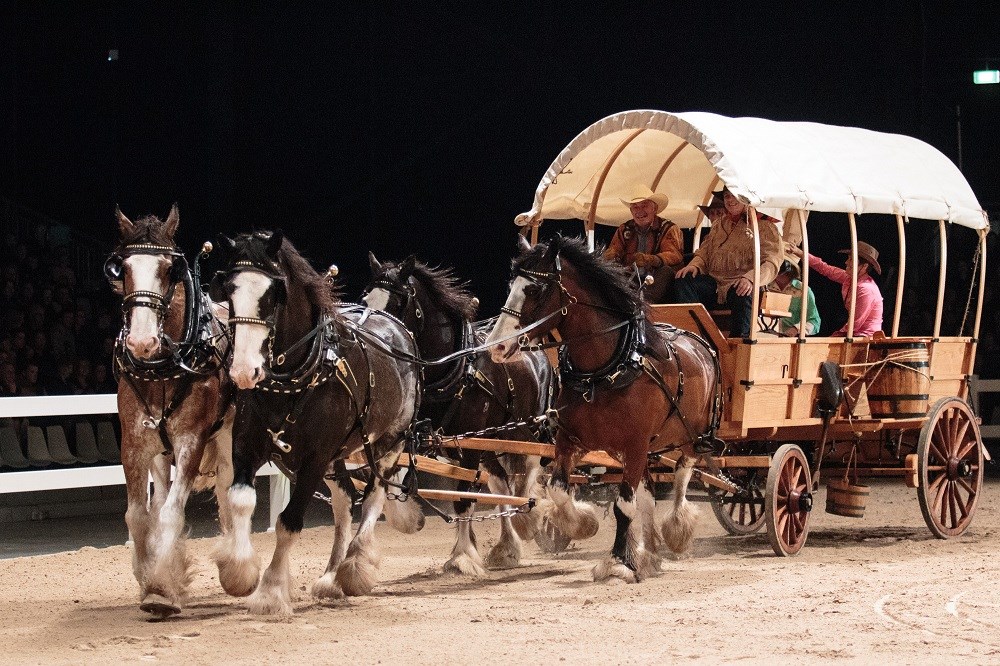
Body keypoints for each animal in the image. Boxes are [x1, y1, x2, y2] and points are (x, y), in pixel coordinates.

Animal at [109, 205, 234, 616]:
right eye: (123, 267)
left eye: (169, 269)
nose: (141, 341)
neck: (164, 367)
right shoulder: (134, 444)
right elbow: (139, 514)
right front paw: (150, 576)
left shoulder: (191, 441)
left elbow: (170, 512)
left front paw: (162, 589)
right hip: (161, 453)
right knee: (163, 492)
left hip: (228, 435)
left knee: (229, 491)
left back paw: (236, 565)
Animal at [364, 252, 560, 572]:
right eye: (366, 299)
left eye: (397, 304)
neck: (450, 372)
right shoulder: (415, 436)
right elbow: (393, 481)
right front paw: (412, 520)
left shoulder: (467, 445)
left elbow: (463, 498)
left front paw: (462, 556)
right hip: (492, 441)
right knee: (502, 483)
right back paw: (507, 546)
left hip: (530, 429)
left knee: (530, 471)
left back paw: (530, 519)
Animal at [484, 237, 720, 580]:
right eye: (510, 285)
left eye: (535, 290)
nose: (497, 346)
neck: (603, 371)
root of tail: (697, 341)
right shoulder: (573, 442)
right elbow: (559, 489)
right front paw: (580, 524)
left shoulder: (634, 445)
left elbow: (624, 507)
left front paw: (617, 561)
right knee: (649, 496)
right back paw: (650, 552)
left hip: (691, 437)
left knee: (681, 476)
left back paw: (676, 529)